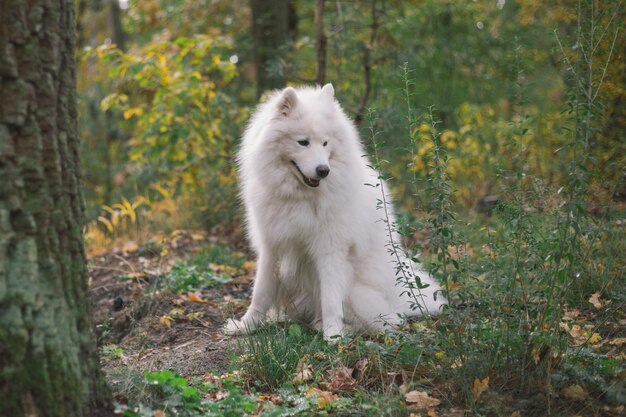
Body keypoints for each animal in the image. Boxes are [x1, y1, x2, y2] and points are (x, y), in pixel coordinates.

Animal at [224, 83, 444, 338]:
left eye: (325, 143)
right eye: (303, 142)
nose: (323, 170)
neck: (300, 198)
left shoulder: (330, 249)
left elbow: (330, 298)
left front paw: (333, 335)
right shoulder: (272, 245)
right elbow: (260, 292)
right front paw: (245, 326)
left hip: (358, 293)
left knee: (381, 320)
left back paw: (332, 326)